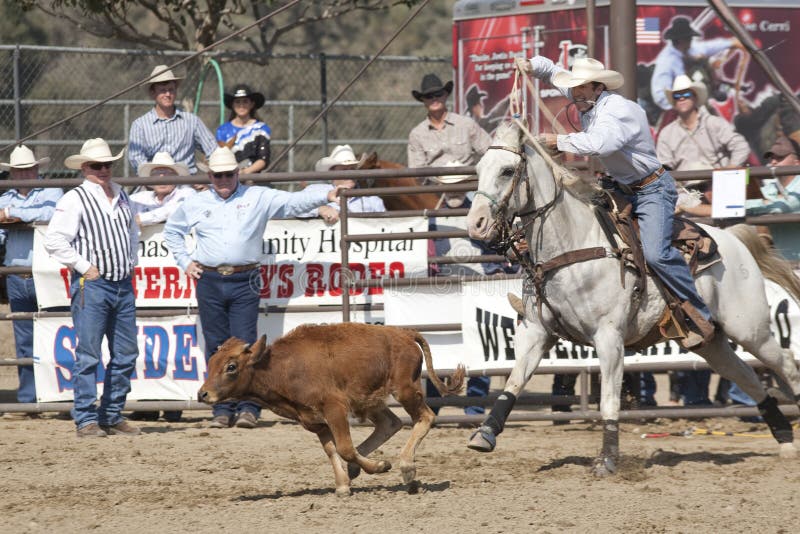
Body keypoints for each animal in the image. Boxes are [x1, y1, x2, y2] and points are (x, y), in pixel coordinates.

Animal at [196, 322, 466, 498]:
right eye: (211, 363)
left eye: (231, 366)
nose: (202, 394)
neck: (281, 368)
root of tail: (403, 333)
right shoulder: (314, 421)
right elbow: (331, 450)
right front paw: (343, 485)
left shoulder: (334, 407)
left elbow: (344, 448)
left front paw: (379, 466)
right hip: (369, 399)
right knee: (390, 424)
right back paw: (359, 467)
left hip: (405, 390)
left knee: (425, 417)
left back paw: (406, 467)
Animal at [466, 122, 796, 478]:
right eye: (478, 170)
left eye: (507, 170)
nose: (476, 225)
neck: (572, 245)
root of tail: (734, 239)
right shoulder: (537, 332)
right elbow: (513, 382)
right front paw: (485, 433)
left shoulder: (609, 337)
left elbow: (608, 401)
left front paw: (607, 459)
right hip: (712, 343)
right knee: (747, 377)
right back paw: (784, 437)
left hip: (750, 329)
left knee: (785, 363)